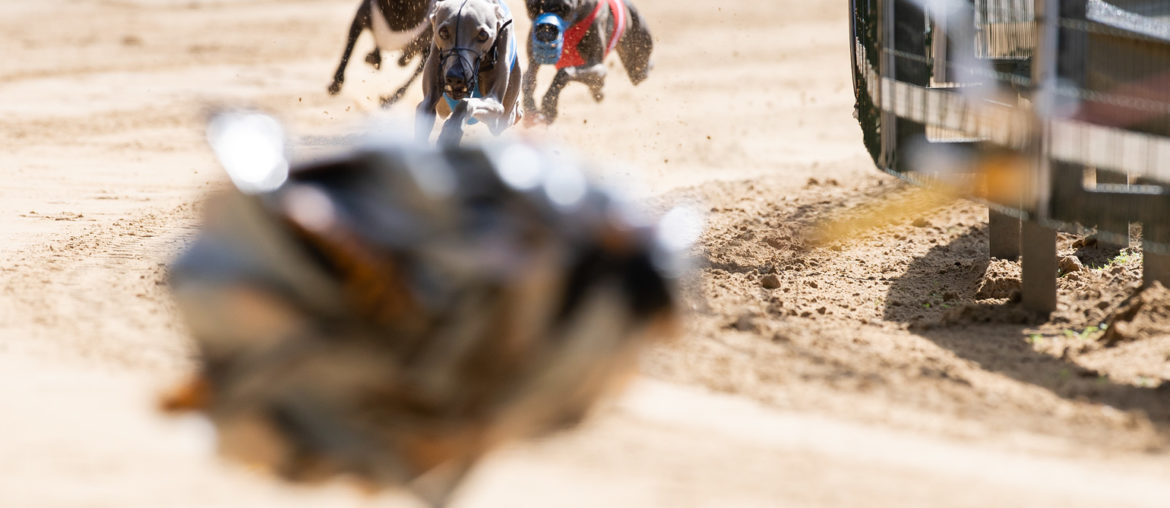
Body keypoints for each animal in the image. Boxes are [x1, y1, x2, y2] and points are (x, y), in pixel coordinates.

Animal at [414, 0, 519, 145]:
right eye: (443, 32)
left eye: (483, 35)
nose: (455, 77)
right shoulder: (428, 100)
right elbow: (426, 107)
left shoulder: (496, 103)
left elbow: (466, 103)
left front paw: (452, 130)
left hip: (501, 120)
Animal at [524, 0, 655, 123]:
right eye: (532, 7)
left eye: (564, 8)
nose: (545, 36)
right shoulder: (534, 59)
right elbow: (528, 78)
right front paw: (530, 110)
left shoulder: (599, 68)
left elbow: (564, 72)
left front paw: (549, 107)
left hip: (637, 67)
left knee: (642, 71)